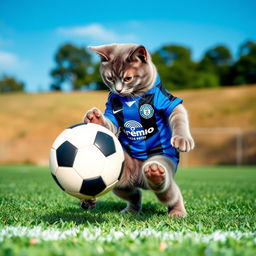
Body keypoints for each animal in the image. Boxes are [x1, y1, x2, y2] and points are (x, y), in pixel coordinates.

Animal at [82, 43, 194, 216]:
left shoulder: (167, 101)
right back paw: (128, 208)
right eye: (110, 78)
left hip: (162, 162)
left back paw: (170, 200)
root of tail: (139, 178)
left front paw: (183, 139)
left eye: (128, 78)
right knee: (134, 193)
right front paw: (94, 118)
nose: (118, 90)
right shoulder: (111, 108)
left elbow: (179, 116)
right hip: (119, 172)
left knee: (169, 192)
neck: (132, 97)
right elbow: (110, 123)